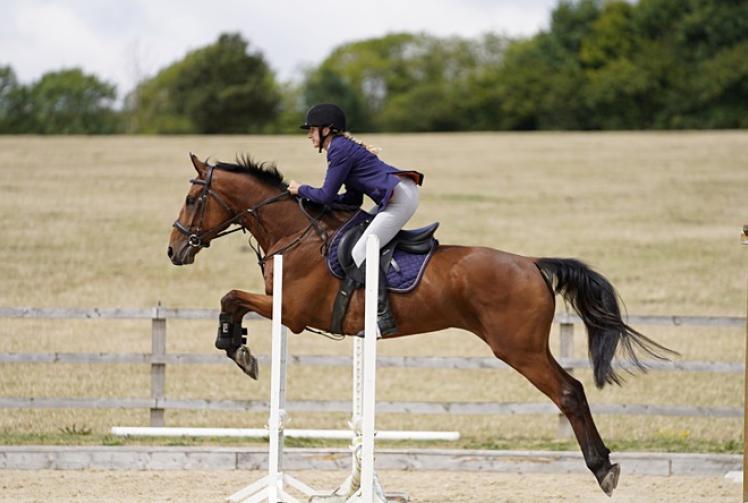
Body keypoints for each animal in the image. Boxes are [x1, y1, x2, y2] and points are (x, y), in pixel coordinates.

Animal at [168, 153, 674, 496]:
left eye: (193, 199)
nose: (175, 250)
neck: (294, 233)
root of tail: (532, 264)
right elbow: (232, 299)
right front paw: (238, 344)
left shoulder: (290, 313)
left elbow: (230, 297)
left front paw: (237, 348)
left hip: (519, 348)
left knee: (569, 392)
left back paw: (604, 469)